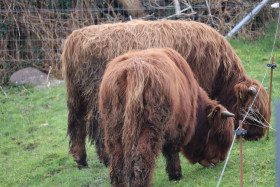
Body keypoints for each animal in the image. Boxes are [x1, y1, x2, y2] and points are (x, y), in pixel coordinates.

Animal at [61, 19, 272, 167]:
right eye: (252, 111)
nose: (258, 135)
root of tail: (75, 37)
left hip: (77, 95)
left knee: (77, 123)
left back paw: (81, 159)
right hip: (97, 97)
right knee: (97, 126)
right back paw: (104, 159)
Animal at [98, 47, 234, 186]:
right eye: (219, 136)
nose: (218, 160)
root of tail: (133, 69)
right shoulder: (177, 128)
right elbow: (172, 151)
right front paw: (176, 175)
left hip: (114, 125)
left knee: (117, 157)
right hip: (150, 126)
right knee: (141, 155)